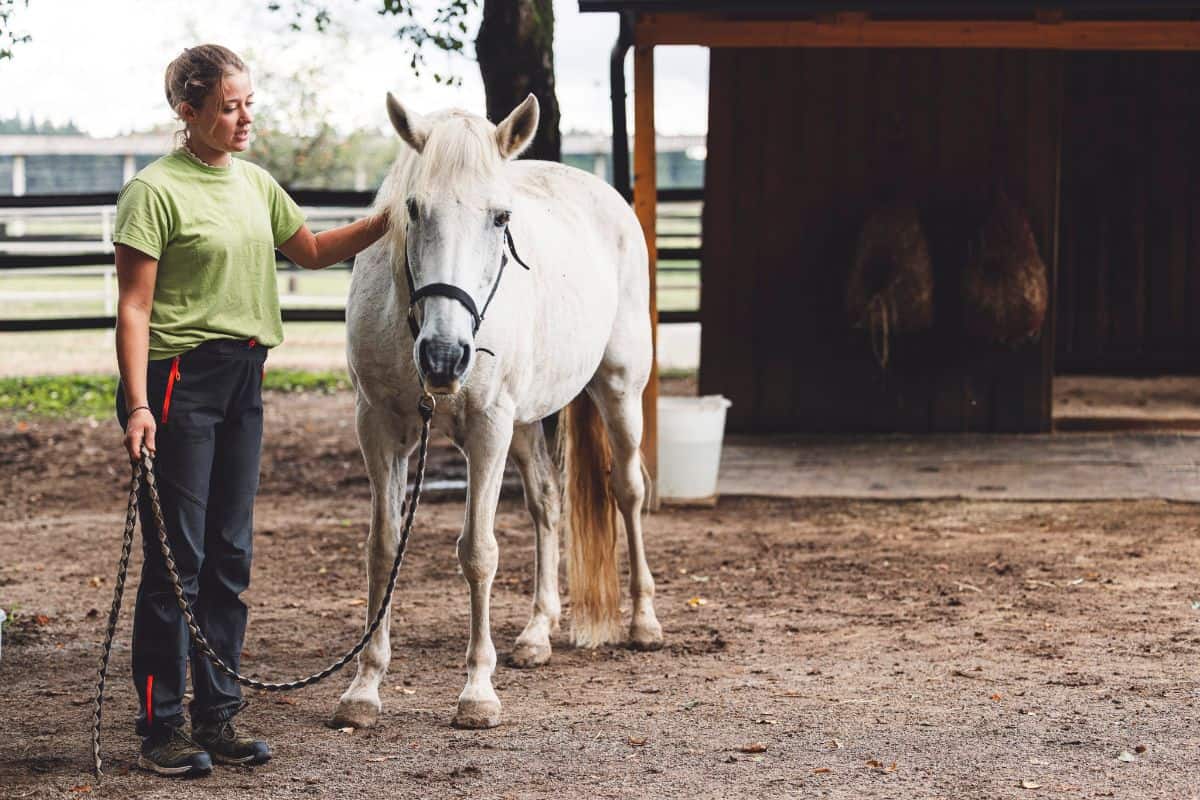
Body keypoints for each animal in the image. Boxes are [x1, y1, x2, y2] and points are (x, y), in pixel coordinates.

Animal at [333, 94, 662, 734]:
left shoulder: (488, 428)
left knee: (629, 492)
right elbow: (383, 548)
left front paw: (477, 692)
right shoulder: (379, 429)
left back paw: (643, 622)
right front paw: (364, 687)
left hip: (618, 390)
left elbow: (478, 553)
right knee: (547, 504)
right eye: (414, 208)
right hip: (527, 423)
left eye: (501, 218)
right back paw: (537, 633)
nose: (443, 355)